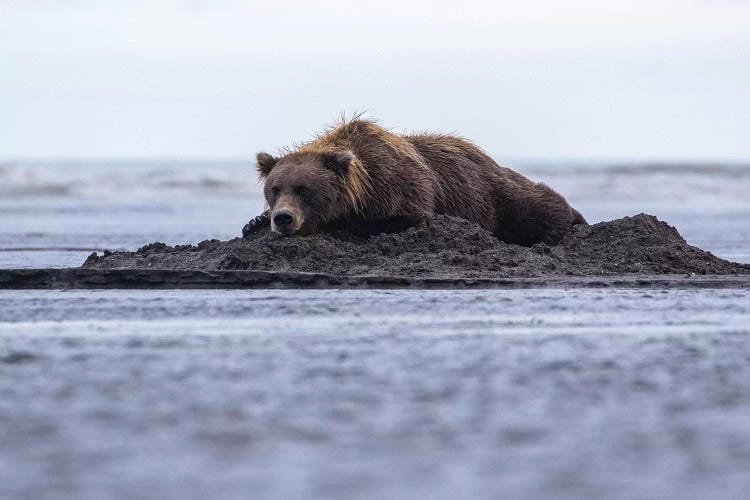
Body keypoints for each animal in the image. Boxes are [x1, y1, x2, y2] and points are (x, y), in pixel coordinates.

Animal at [245, 119, 588, 248]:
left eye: (304, 188)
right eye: (274, 188)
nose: (284, 218)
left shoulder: (401, 186)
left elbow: (401, 217)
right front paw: (253, 222)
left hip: (499, 196)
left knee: (538, 207)